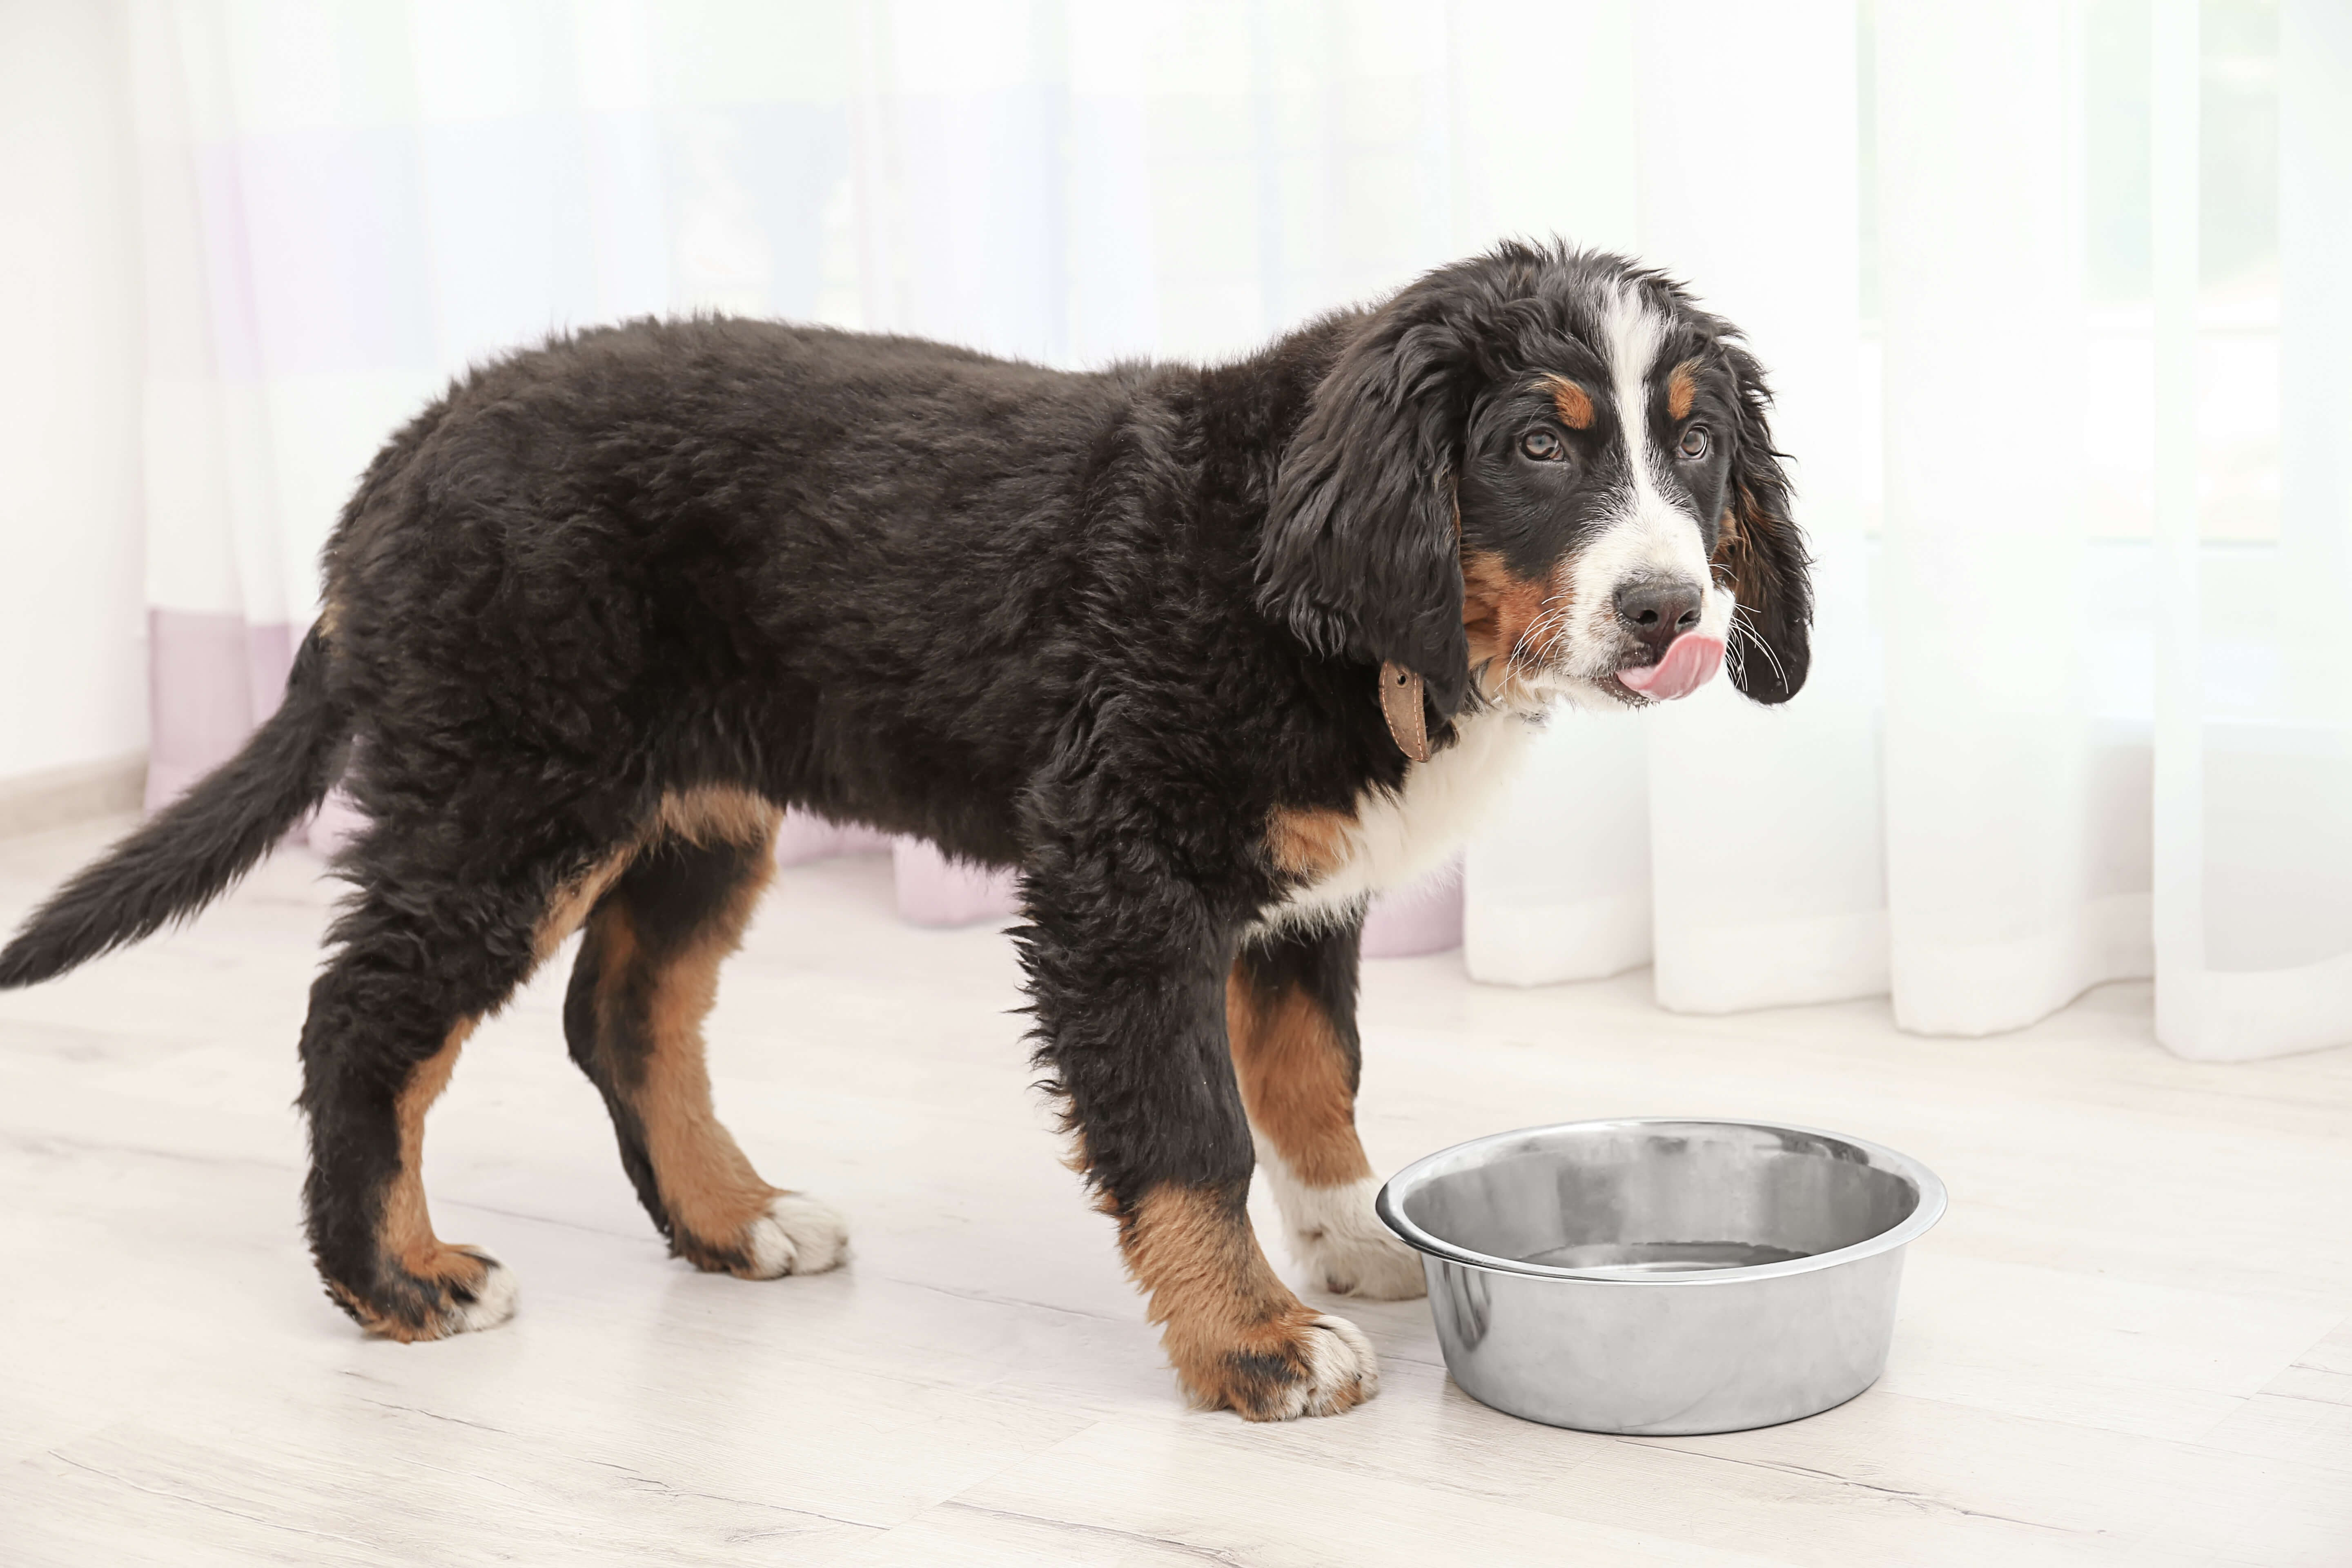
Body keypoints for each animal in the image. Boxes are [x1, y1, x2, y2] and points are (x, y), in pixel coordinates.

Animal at [0, 242, 1806, 1420]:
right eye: (1536, 444)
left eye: (1697, 443)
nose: (1670, 611)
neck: (1326, 598)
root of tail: (409, 451)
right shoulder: (1120, 881)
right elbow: (1186, 1131)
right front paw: (1255, 1346)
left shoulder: (1294, 895)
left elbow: (1306, 1077)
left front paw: (1355, 1234)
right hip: (510, 789)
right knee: (365, 1020)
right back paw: (401, 1282)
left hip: (690, 807)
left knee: (622, 1013)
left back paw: (731, 1222)